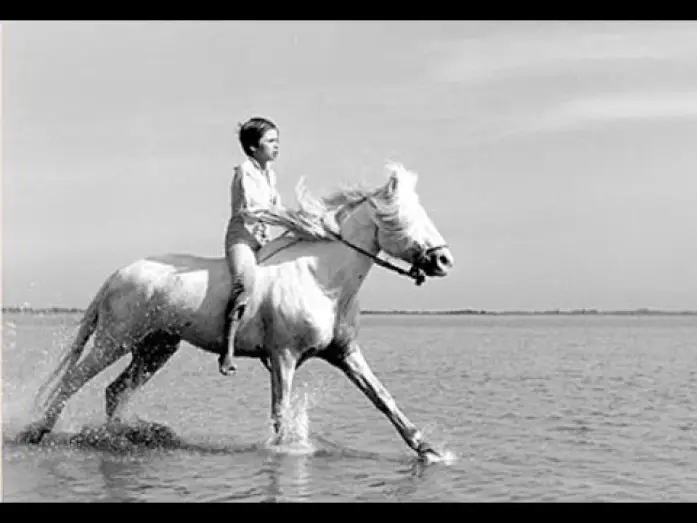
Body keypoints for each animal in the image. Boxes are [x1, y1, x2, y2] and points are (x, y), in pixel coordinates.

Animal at [18, 162, 455, 461]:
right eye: (403, 220)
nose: (444, 260)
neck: (321, 278)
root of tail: (117, 274)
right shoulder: (283, 357)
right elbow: (281, 414)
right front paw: (283, 453)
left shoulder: (344, 353)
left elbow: (384, 399)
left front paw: (428, 448)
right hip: (115, 339)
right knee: (74, 379)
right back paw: (36, 432)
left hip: (156, 347)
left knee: (114, 390)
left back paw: (122, 437)